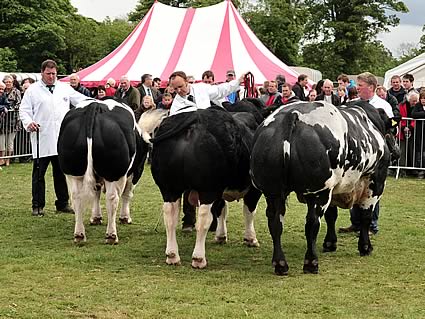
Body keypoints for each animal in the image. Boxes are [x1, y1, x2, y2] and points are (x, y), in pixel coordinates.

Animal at [58, 100, 147, 245]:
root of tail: (95, 106)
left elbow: (96, 193)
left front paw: (96, 217)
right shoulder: (136, 170)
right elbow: (127, 194)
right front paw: (125, 218)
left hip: (73, 172)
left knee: (77, 197)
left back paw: (79, 235)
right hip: (114, 173)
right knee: (112, 198)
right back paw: (111, 236)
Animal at [141, 100, 262, 270]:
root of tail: (195, 117)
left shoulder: (220, 191)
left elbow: (221, 210)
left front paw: (221, 236)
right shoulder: (253, 190)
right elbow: (249, 212)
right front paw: (250, 239)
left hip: (169, 189)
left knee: (170, 217)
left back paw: (172, 255)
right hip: (207, 190)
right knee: (203, 219)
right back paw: (198, 258)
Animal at [250, 101, 396, 276]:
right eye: (393, 131)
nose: (397, 152)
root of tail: (291, 116)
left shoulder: (332, 189)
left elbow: (331, 216)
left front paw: (330, 243)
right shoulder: (375, 182)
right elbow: (365, 216)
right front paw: (365, 246)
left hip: (273, 192)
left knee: (275, 223)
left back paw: (280, 263)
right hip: (318, 192)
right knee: (312, 223)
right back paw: (311, 262)